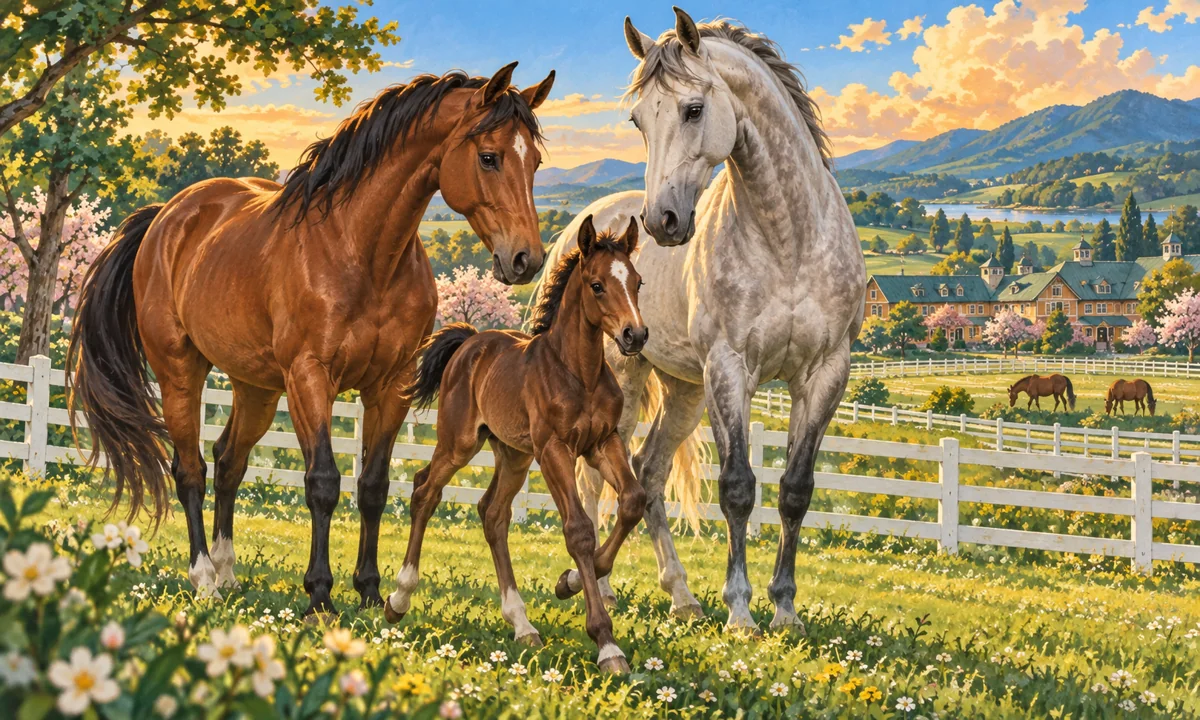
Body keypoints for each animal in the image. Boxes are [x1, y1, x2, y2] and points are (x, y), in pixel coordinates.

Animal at [66, 64, 556, 617]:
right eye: (489, 156)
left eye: (535, 161)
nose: (525, 259)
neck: (359, 252)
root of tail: (168, 216)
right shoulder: (309, 377)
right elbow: (322, 481)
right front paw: (320, 593)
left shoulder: (391, 385)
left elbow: (373, 485)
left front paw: (369, 590)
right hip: (179, 373)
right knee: (190, 469)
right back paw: (204, 577)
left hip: (255, 388)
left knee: (228, 462)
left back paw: (228, 572)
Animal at [385, 217, 647, 672]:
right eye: (597, 285)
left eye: (637, 282)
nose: (635, 335)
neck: (578, 372)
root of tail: (470, 341)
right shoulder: (554, 449)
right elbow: (579, 530)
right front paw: (606, 643)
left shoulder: (602, 442)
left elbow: (633, 502)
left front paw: (569, 581)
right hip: (460, 443)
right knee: (425, 490)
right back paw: (398, 599)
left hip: (514, 454)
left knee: (492, 514)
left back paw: (522, 624)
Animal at [537, 10, 864, 633]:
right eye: (638, 119)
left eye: (693, 109)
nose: (661, 220)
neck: (788, 242)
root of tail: (582, 229)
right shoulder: (729, 370)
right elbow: (737, 488)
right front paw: (740, 611)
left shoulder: (823, 374)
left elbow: (795, 490)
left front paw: (784, 608)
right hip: (624, 381)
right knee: (598, 473)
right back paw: (592, 583)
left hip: (683, 391)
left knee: (647, 473)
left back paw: (681, 595)